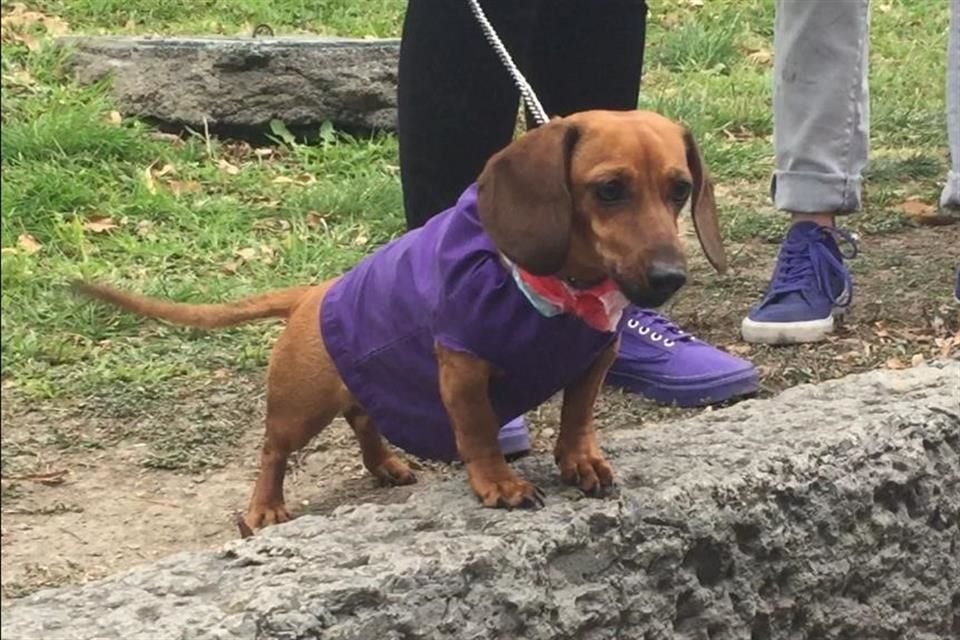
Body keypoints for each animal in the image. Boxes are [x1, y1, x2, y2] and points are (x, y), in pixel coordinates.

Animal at [75, 111, 724, 536]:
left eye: (680, 189)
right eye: (609, 190)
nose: (670, 278)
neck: (563, 289)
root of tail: (314, 294)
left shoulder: (594, 358)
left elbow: (578, 417)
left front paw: (581, 462)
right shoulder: (462, 367)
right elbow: (480, 433)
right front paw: (500, 485)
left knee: (363, 416)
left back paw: (384, 465)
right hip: (298, 408)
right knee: (273, 451)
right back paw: (264, 509)